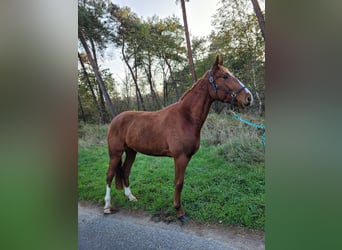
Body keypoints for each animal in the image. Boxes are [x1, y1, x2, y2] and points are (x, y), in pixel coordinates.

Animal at [103, 55, 252, 221]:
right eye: (225, 76)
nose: (248, 98)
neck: (186, 117)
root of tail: (115, 119)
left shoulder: (186, 157)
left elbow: (179, 182)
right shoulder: (180, 157)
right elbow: (179, 182)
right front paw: (179, 211)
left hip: (131, 152)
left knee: (125, 171)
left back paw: (130, 197)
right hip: (115, 153)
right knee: (109, 175)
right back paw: (107, 206)